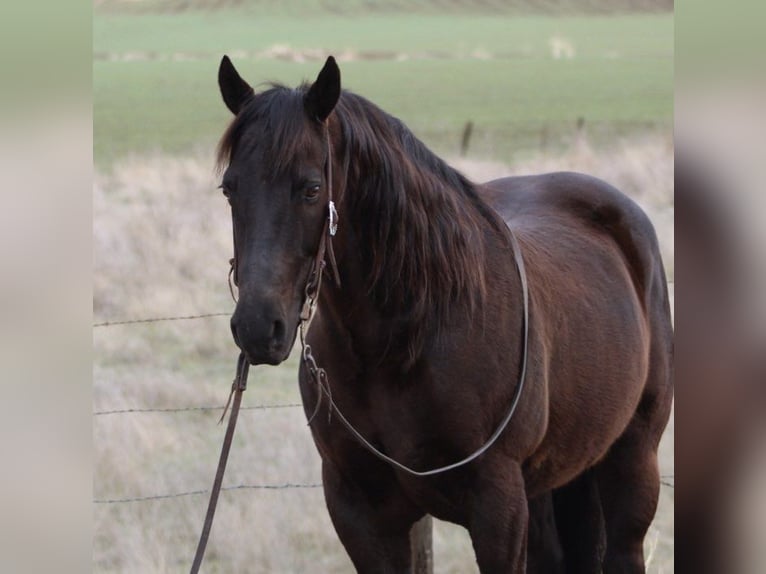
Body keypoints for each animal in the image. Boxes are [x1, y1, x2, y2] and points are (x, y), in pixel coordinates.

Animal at [214, 55, 672, 574]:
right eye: (229, 189)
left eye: (311, 189)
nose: (257, 327)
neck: (407, 338)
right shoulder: (358, 509)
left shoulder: (497, 505)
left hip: (632, 461)